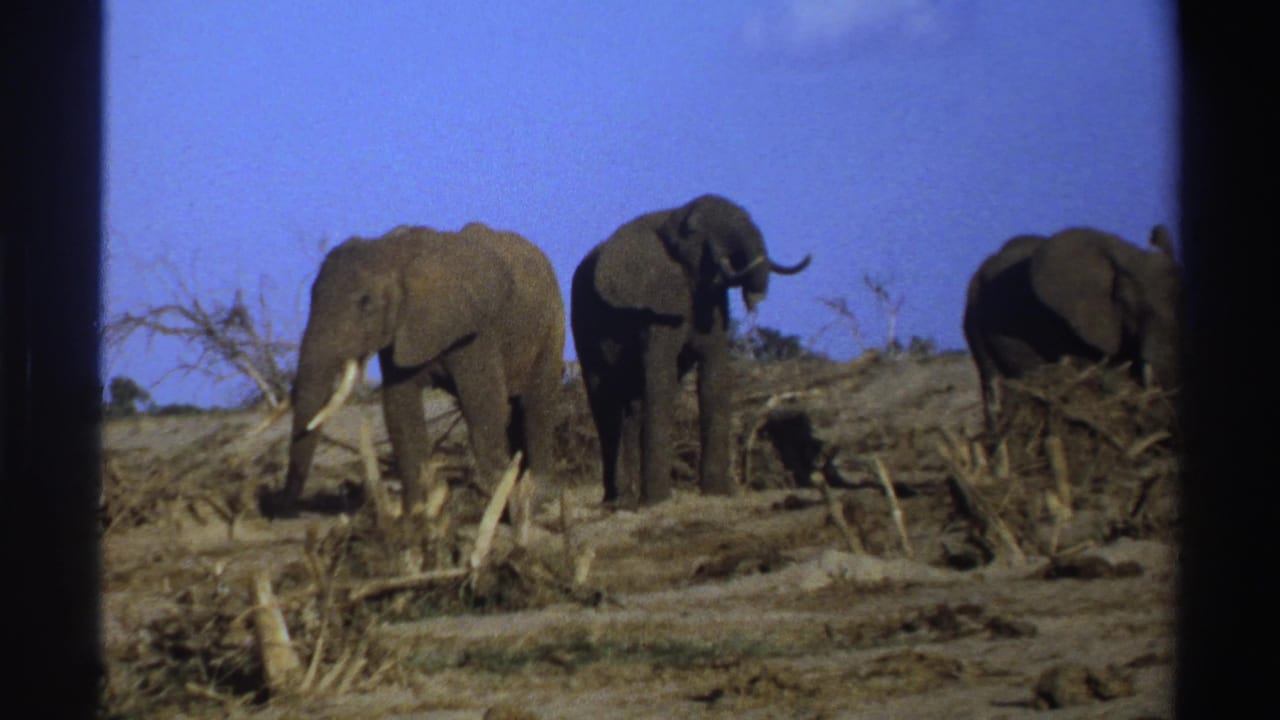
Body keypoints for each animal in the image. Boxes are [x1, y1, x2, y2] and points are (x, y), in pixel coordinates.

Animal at [264, 222, 565, 530]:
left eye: (365, 302)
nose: (280, 511)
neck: (395, 255)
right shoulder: (398, 332)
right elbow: (400, 408)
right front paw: (416, 516)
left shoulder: (474, 331)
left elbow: (483, 405)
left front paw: (506, 511)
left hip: (551, 324)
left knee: (536, 405)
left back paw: (536, 500)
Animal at [570, 194, 811, 505]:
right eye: (692, 231)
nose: (754, 299)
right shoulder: (655, 302)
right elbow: (661, 376)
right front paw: (657, 502)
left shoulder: (711, 301)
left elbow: (715, 374)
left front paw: (718, 493)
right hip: (582, 325)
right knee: (605, 401)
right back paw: (617, 501)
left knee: (631, 405)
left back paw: (627, 498)